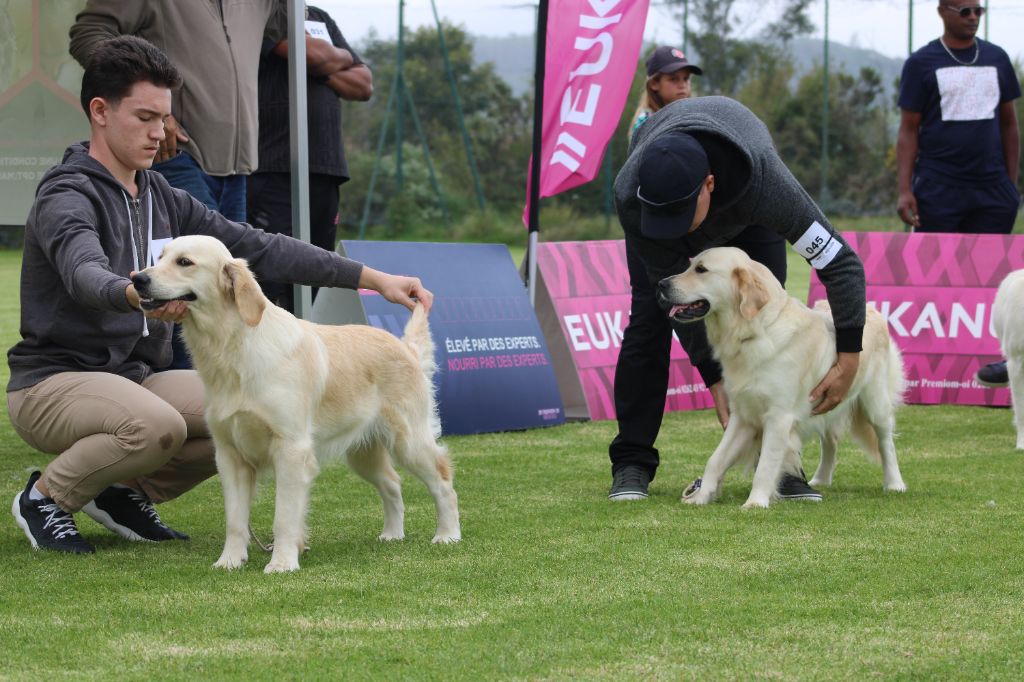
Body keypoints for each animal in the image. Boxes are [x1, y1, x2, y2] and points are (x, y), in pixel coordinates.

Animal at [133, 233, 460, 569]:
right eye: (160, 257)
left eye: (185, 262)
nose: (137, 279)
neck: (232, 347)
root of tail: (405, 348)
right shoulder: (229, 453)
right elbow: (235, 520)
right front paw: (230, 561)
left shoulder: (290, 449)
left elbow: (284, 517)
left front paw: (282, 563)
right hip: (363, 452)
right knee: (393, 483)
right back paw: (393, 534)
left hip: (409, 441)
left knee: (443, 482)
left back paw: (447, 535)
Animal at [655, 246, 905, 507]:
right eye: (690, 265)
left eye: (701, 269)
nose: (661, 284)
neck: (754, 332)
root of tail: (871, 309)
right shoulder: (743, 415)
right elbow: (716, 459)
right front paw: (701, 496)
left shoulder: (778, 416)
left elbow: (766, 465)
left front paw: (755, 502)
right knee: (831, 440)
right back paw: (821, 479)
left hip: (875, 402)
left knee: (886, 442)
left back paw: (894, 483)